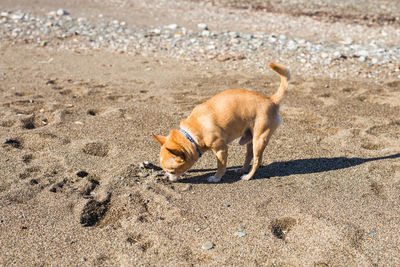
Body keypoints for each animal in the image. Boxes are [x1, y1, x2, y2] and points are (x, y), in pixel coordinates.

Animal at [152, 62, 290, 183]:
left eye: (172, 171)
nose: (165, 177)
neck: (193, 133)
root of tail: (271, 100)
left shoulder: (221, 149)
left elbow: (221, 165)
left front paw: (216, 178)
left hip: (259, 139)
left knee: (257, 160)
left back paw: (248, 176)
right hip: (250, 138)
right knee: (249, 156)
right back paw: (242, 170)